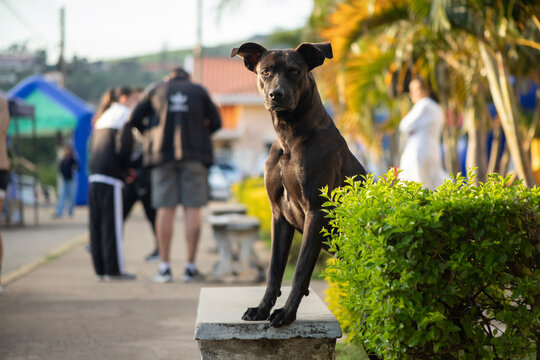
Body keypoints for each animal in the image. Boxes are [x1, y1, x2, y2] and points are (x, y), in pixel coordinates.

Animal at [230, 41, 364, 326]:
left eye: (294, 71)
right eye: (266, 71)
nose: (276, 95)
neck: (290, 136)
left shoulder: (316, 212)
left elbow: (300, 270)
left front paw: (286, 314)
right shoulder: (279, 215)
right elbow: (274, 270)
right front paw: (261, 309)